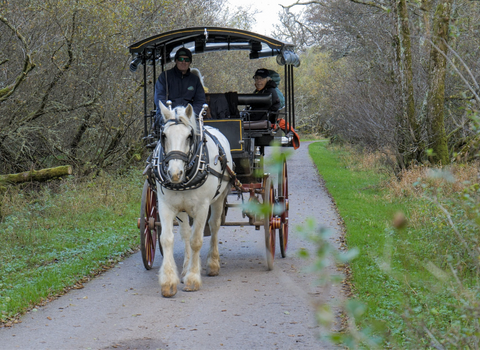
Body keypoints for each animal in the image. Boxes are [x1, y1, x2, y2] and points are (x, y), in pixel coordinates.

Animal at [155, 102, 232, 298]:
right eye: (163, 135)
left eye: (189, 136)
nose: (175, 173)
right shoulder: (165, 206)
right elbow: (167, 239)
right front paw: (169, 282)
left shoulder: (202, 207)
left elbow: (196, 241)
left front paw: (192, 279)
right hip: (182, 209)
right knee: (185, 233)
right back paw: (184, 268)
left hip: (219, 198)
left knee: (214, 226)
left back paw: (213, 264)